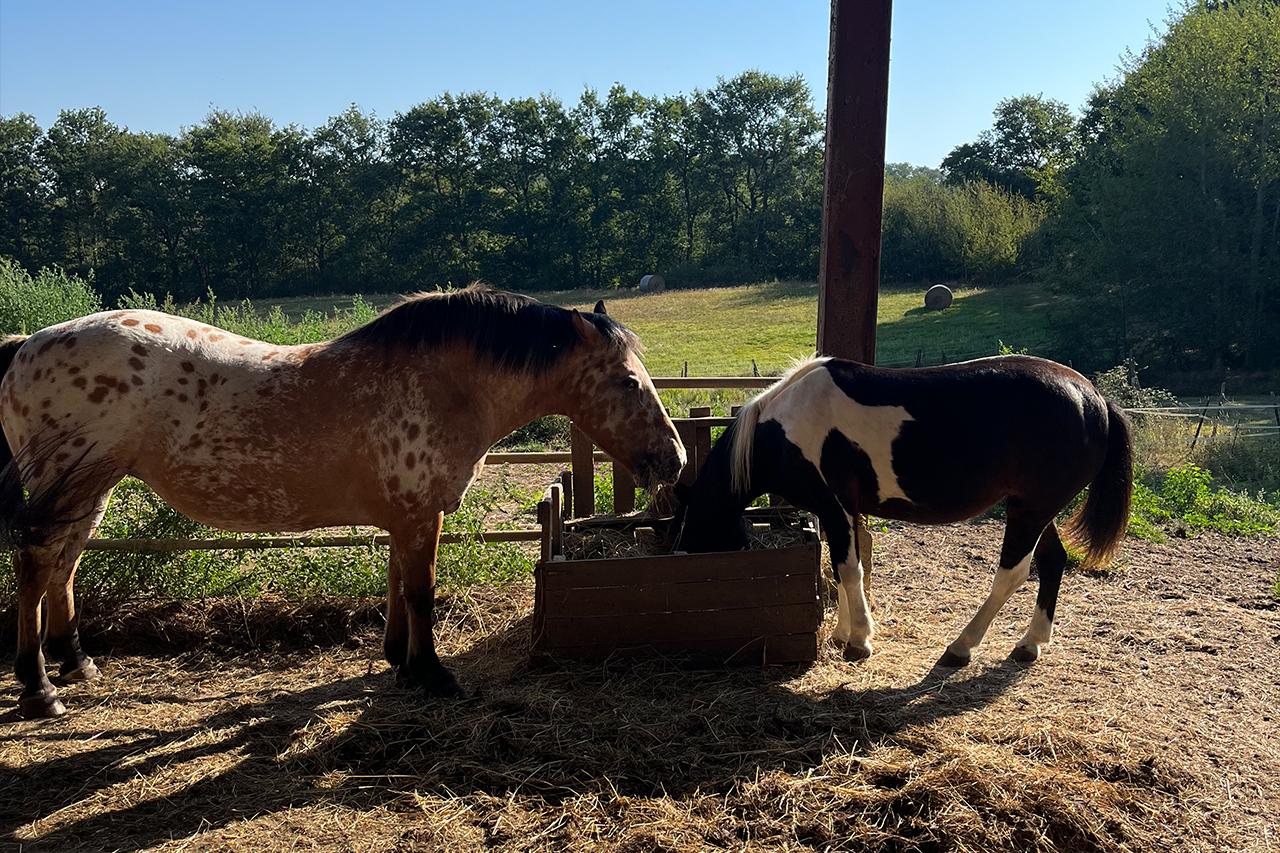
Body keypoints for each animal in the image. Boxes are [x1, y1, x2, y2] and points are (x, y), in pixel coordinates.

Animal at [0, 284, 686, 719]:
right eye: (628, 381)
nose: (674, 459)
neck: (446, 384)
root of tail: (27, 344)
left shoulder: (406, 516)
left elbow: (397, 584)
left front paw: (399, 661)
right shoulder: (419, 514)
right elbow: (421, 591)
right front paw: (433, 674)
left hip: (90, 488)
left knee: (63, 563)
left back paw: (77, 663)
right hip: (73, 483)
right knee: (36, 564)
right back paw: (39, 687)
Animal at [674, 354, 1132, 666]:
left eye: (690, 530)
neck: (784, 428)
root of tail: (1093, 397)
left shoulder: (834, 506)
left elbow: (848, 570)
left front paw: (859, 641)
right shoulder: (842, 512)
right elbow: (845, 566)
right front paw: (842, 633)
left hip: (1029, 511)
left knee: (1012, 575)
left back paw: (960, 647)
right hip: (1035, 508)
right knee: (1053, 561)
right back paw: (1030, 643)